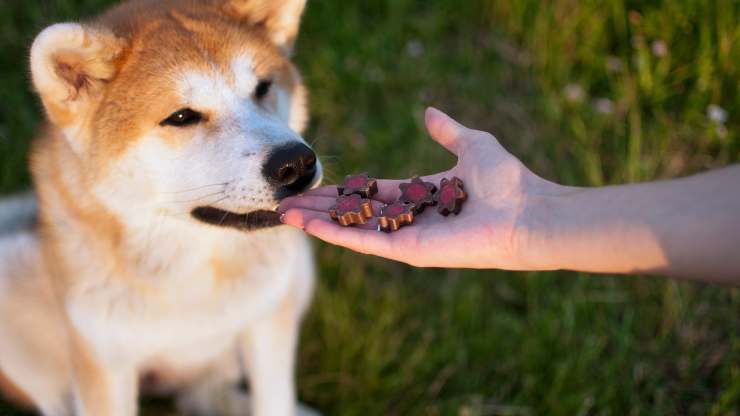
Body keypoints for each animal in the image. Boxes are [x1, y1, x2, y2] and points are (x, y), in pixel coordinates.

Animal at [0, 1, 324, 414]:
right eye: (182, 117)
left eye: (263, 88)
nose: (296, 163)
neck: (191, 266)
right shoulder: (104, 363)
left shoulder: (268, 322)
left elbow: (273, 400)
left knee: (202, 392)